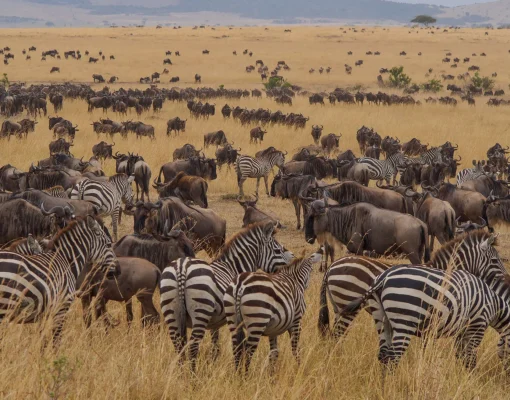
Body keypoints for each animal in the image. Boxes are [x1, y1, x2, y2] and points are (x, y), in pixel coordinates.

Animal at [0, 217, 118, 346]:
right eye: (108, 244)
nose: (118, 271)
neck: (67, 261)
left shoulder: (45, 312)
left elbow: (43, 339)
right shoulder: (62, 307)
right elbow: (56, 340)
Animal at [159, 220, 294, 370]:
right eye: (277, 250)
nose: (293, 258)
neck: (233, 267)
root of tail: (182, 267)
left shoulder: (214, 322)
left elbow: (216, 347)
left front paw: (213, 364)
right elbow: (237, 345)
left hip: (171, 311)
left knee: (178, 346)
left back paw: (181, 374)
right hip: (200, 311)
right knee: (193, 347)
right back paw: (193, 375)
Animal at [316, 231, 504, 338]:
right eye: (495, 261)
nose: (506, 279)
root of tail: (331, 267)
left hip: (338, 307)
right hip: (347, 302)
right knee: (337, 335)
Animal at [340, 266, 510, 368]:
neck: (494, 303)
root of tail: (384, 277)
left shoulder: (463, 329)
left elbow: (460, 355)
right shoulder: (478, 324)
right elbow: (470, 358)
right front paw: (469, 380)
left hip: (380, 317)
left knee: (383, 356)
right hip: (404, 321)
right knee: (393, 358)